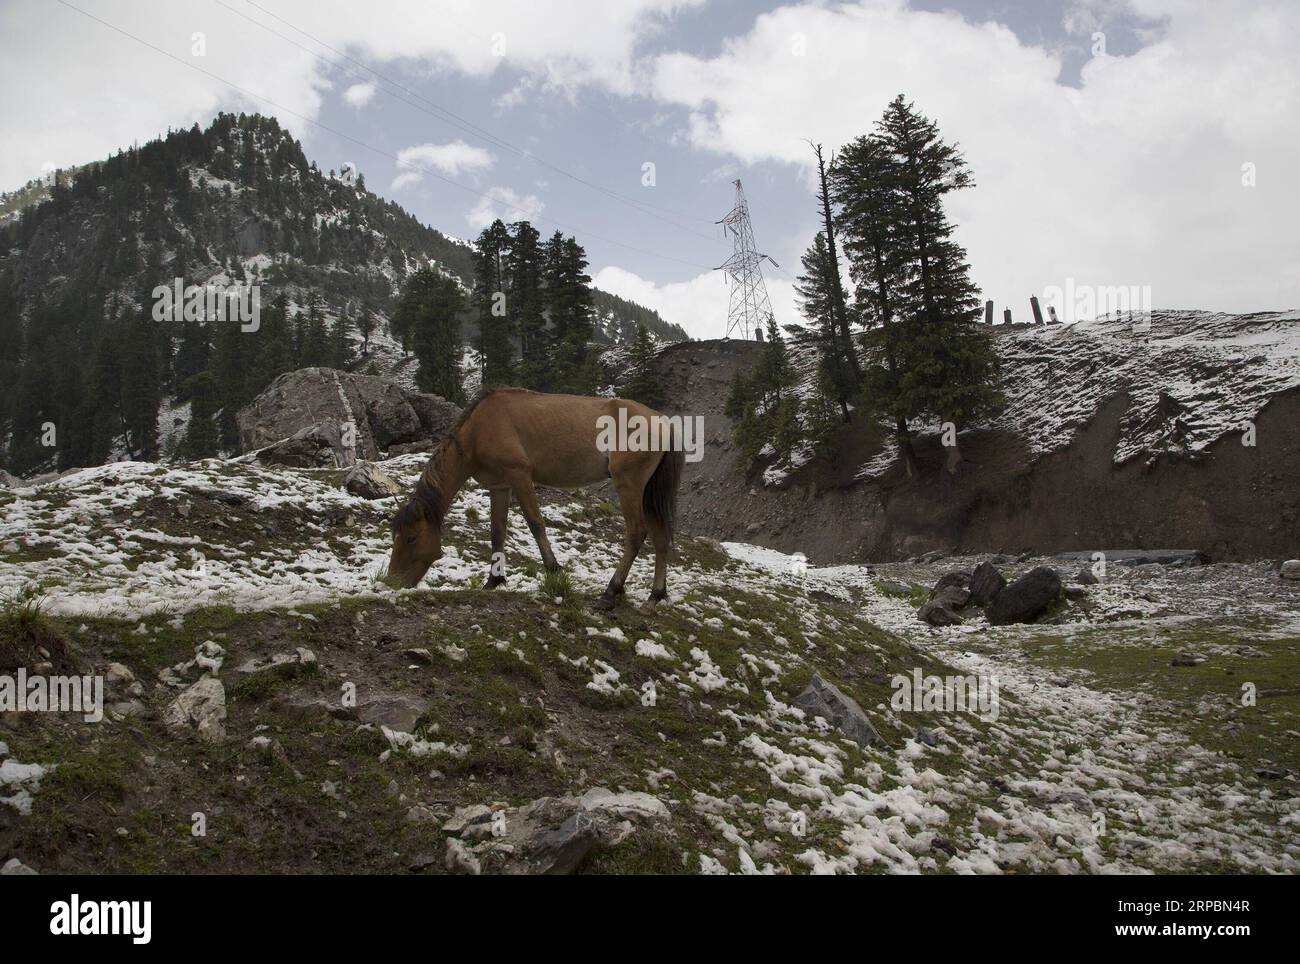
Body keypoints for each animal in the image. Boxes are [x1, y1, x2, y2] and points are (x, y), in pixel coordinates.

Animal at [384, 384, 691, 610]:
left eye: (411, 538)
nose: (392, 582)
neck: (479, 429)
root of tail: (663, 422)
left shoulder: (520, 476)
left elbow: (535, 523)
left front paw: (554, 569)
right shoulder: (500, 486)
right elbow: (497, 531)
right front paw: (493, 580)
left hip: (629, 484)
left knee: (636, 533)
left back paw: (610, 592)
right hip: (648, 492)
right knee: (660, 538)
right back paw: (655, 596)